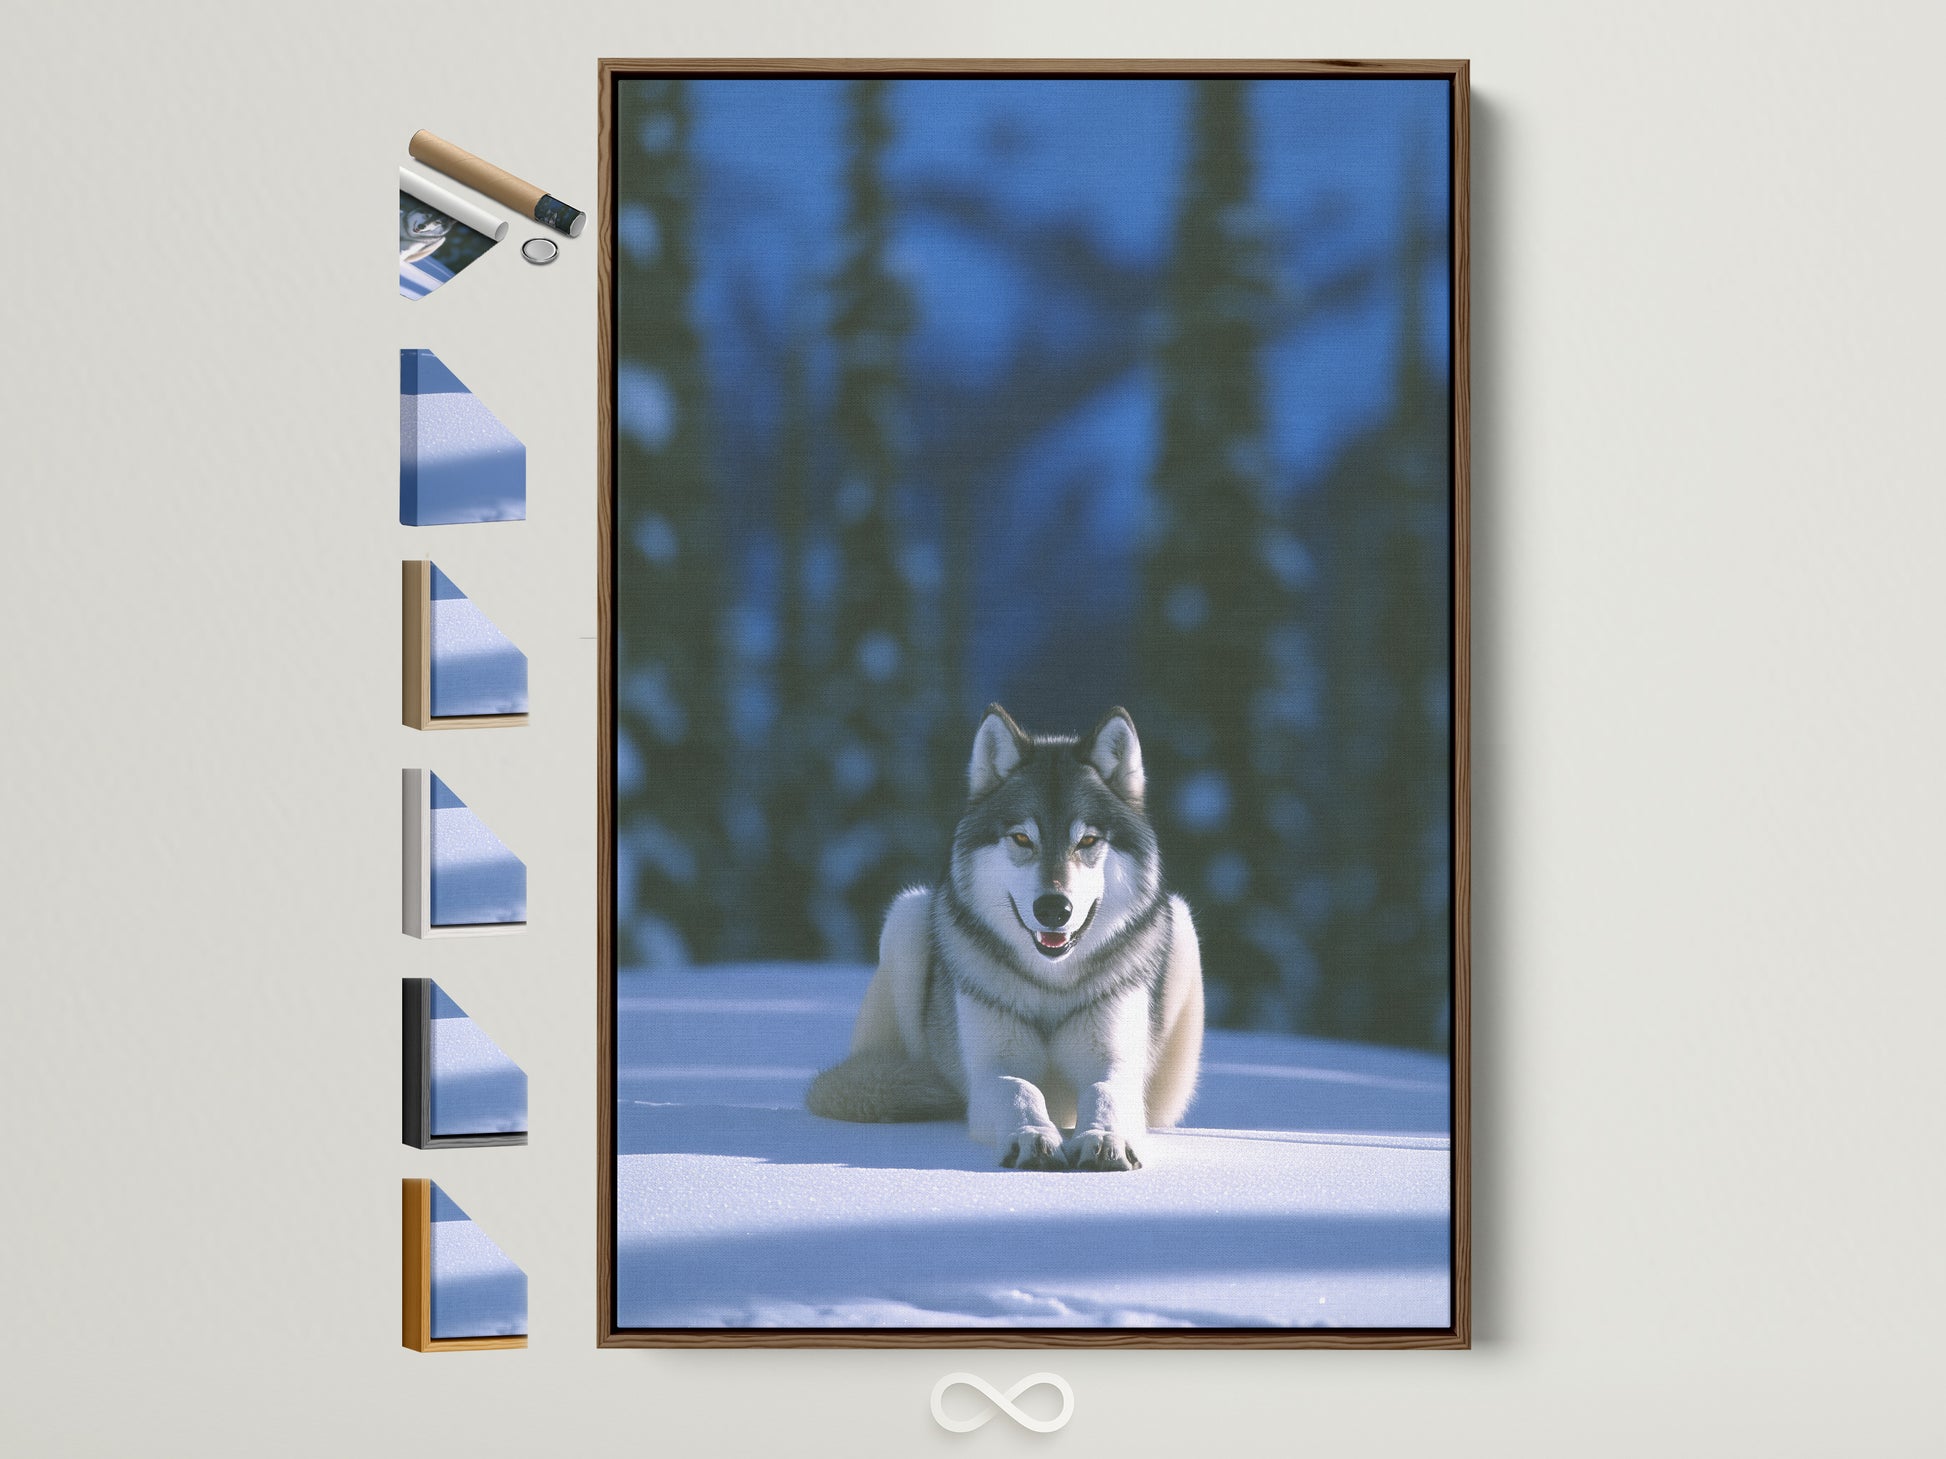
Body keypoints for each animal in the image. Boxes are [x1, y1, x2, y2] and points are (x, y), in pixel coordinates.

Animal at [807, 704, 1204, 1171]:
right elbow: (1019, 1089)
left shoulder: (1115, 1064)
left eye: (1087, 839)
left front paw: (1105, 1138)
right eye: (1021, 838)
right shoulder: (990, 1072)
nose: (1054, 908)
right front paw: (1032, 1136)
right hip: (906, 917)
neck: (1051, 984)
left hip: (1183, 926)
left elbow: (1103, 1091)